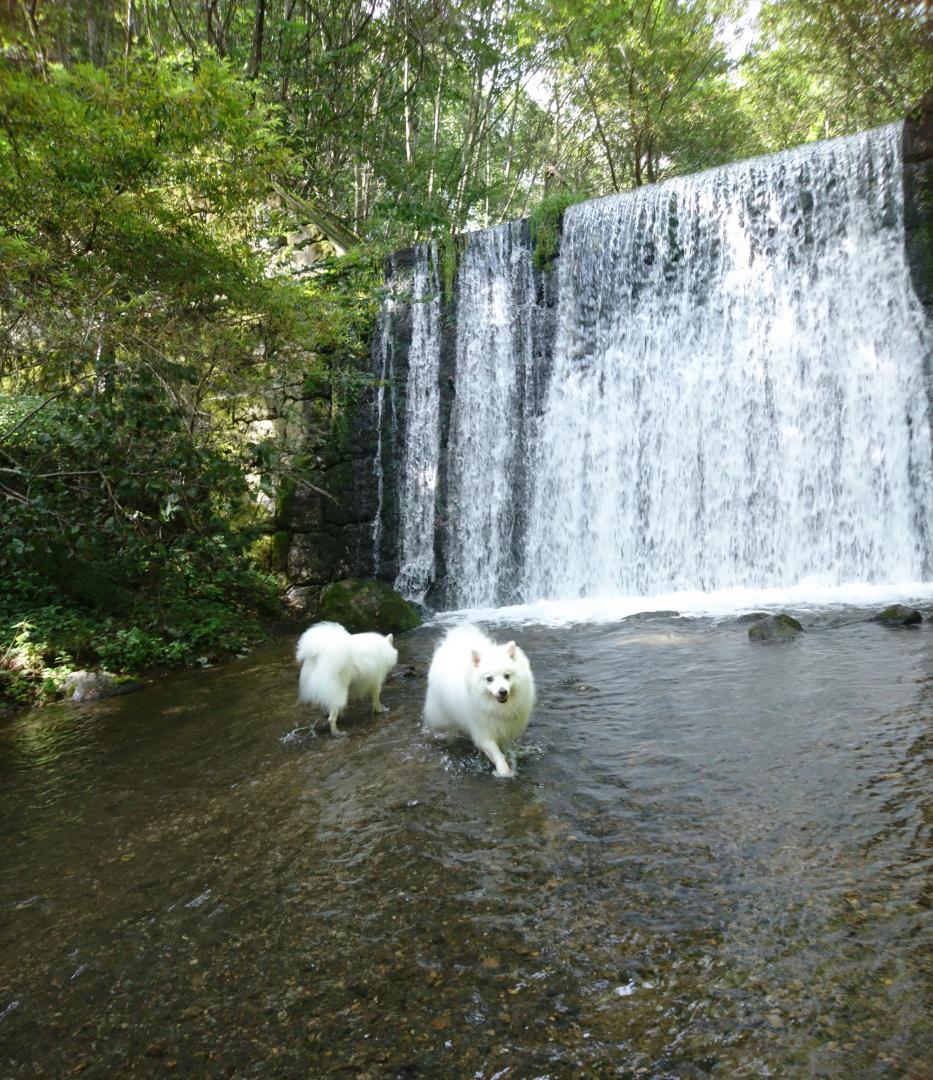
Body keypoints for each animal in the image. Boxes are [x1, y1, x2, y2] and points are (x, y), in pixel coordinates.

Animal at [421, 626, 531, 777]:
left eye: (507, 676)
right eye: (489, 679)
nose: (502, 691)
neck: (496, 706)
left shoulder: (504, 729)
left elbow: (504, 748)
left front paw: (509, 758)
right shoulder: (483, 730)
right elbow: (495, 752)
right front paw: (503, 770)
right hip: (441, 714)